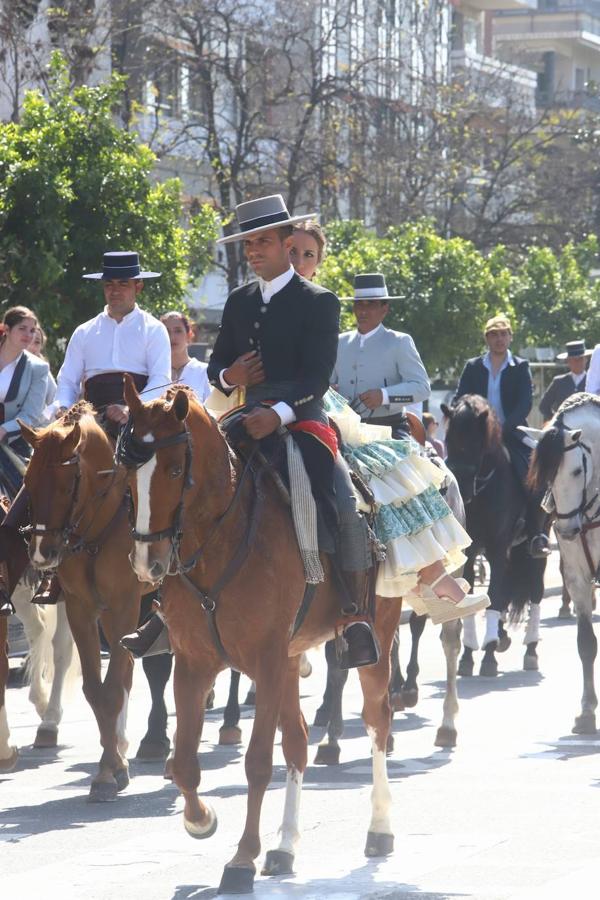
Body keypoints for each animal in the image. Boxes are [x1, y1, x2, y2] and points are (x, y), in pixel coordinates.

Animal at [122, 378, 404, 892]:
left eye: (174, 468)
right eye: (129, 470)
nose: (147, 563)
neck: (221, 539)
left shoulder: (267, 662)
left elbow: (256, 762)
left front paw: (241, 859)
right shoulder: (193, 663)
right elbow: (185, 761)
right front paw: (201, 820)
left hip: (375, 638)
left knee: (378, 721)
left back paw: (378, 829)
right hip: (292, 658)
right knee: (296, 741)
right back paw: (285, 846)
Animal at [440, 394, 548, 676]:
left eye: (475, 442)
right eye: (449, 440)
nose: (462, 488)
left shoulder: (498, 548)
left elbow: (495, 598)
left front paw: (487, 655)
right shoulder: (470, 553)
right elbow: (475, 598)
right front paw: (468, 656)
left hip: (537, 546)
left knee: (535, 591)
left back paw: (531, 649)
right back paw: (501, 637)